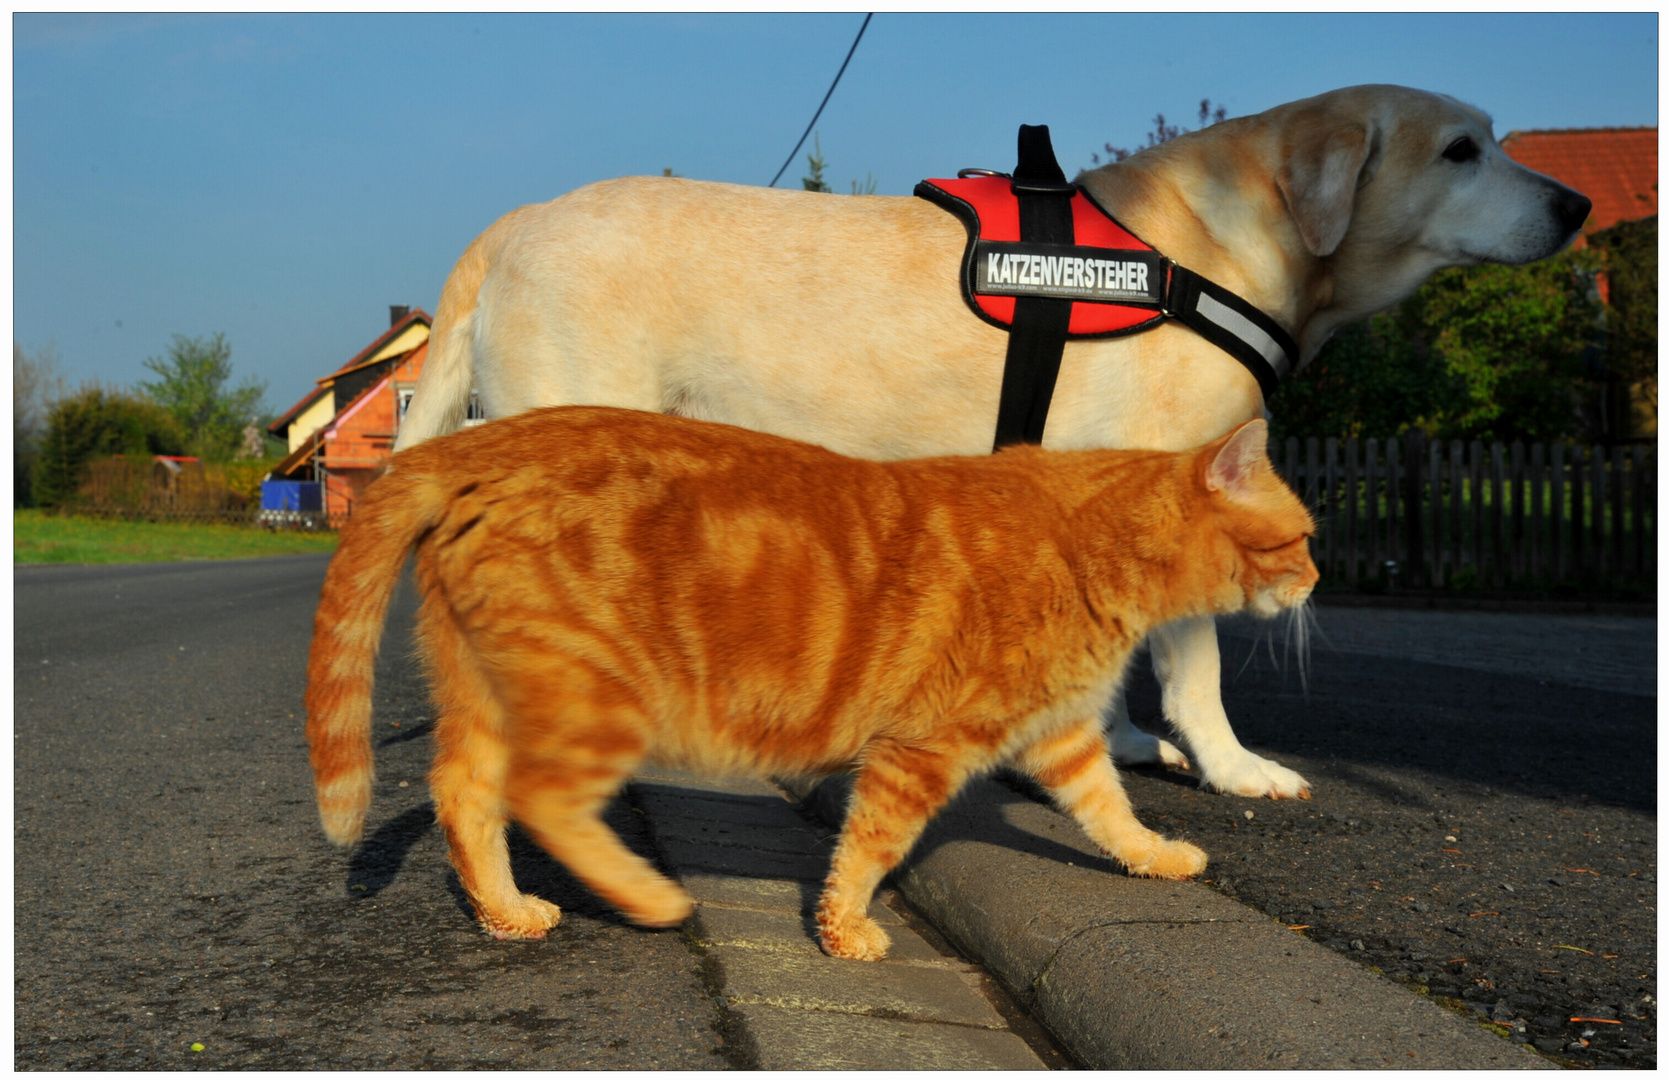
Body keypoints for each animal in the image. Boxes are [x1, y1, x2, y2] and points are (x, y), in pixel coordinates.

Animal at [303, 407, 1315, 961]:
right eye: (1303, 536)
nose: (1315, 579)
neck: (1090, 541)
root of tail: (472, 445)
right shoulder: (922, 748)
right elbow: (867, 846)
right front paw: (842, 930)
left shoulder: (1060, 735)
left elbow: (1109, 811)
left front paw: (1156, 855)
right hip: (597, 699)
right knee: (541, 799)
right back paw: (649, 897)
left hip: (487, 692)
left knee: (463, 794)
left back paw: (505, 911)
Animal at [393, 84, 1588, 797]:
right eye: (1460, 150)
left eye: (1493, 141)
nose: (1577, 206)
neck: (1217, 245)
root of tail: (516, 223)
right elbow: (1193, 665)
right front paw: (1233, 767)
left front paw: (1110, 745)